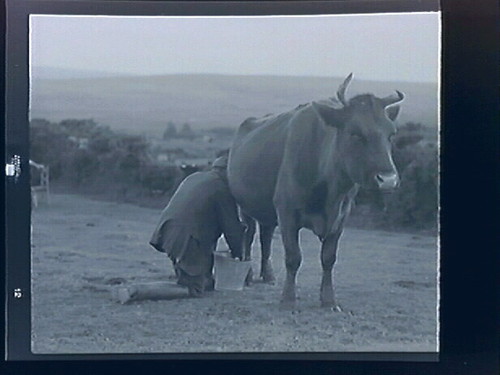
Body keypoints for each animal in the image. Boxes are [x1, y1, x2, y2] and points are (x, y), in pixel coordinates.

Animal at [229, 75, 404, 310]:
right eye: (355, 133)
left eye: (391, 134)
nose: (388, 180)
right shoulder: (287, 212)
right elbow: (293, 257)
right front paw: (288, 299)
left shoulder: (341, 217)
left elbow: (328, 258)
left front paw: (329, 300)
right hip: (246, 208)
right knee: (248, 237)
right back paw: (247, 276)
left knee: (266, 238)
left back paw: (268, 275)